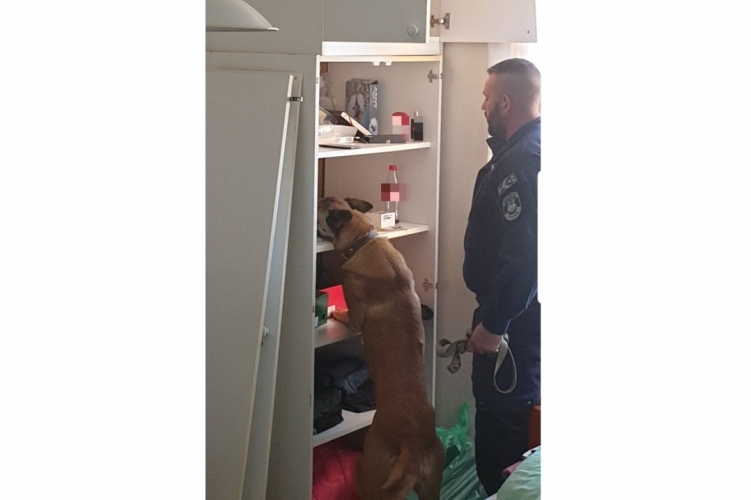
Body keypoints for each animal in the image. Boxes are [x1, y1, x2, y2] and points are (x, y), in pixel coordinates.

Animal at [317, 197, 445, 500]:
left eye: (321, 211)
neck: (363, 238)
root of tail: (411, 447)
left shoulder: (354, 315)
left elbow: (345, 314)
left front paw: (334, 311)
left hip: (369, 473)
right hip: (432, 483)